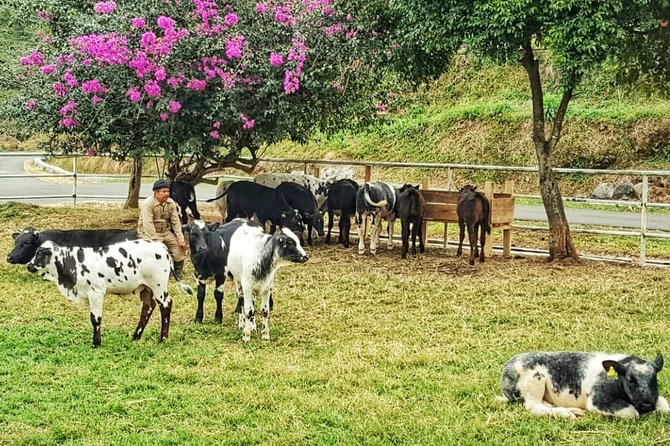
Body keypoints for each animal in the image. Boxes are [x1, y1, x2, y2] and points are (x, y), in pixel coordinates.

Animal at [26, 239, 192, 346]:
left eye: (40, 254)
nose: (29, 266)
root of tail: (160, 245)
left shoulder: (96, 293)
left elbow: (95, 319)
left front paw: (96, 343)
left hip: (159, 286)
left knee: (166, 305)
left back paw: (163, 338)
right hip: (146, 288)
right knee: (148, 307)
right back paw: (136, 336)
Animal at [502, 352, 668, 418]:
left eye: (654, 380)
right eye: (630, 380)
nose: (647, 405)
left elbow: (666, 406)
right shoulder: (597, 400)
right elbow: (632, 412)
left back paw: (573, 411)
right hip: (534, 381)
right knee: (534, 406)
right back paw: (567, 414)